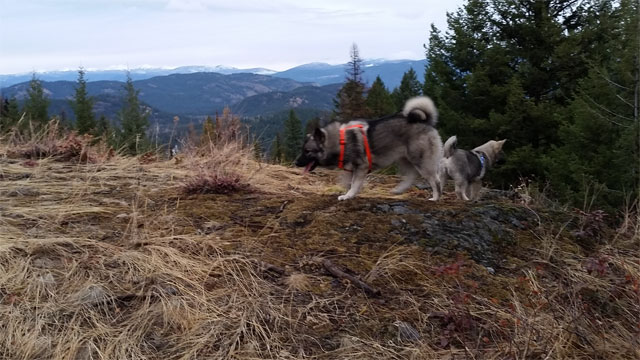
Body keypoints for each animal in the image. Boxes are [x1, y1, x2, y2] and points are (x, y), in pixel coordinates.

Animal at [298, 95, 442, 201]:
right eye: (302, 150)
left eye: (307, 151)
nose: (296, 163)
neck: (341, 142)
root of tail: (425, 122)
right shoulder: (349, 170)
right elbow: (348, 182)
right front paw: (346, 193)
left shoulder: (361, 167)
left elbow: (354, 184)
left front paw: (349, 195)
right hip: (403, 159)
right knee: (412, 175)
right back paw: (399, 190)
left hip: (421, 161)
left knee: (435, 180)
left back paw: (435, 198)